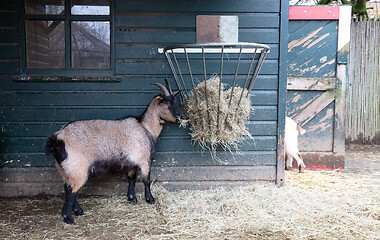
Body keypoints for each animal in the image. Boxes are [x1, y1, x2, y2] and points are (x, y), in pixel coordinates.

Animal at [44, 81, 184, 225]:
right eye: (168, 103)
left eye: (176, 100)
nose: (183, 116)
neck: (145, 127)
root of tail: (58, 138)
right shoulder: (144, 160)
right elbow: (146, 180)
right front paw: (150, 199)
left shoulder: (132, 162)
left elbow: (131, 178)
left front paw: (132, 198)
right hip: (77, 169)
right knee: (71, 190)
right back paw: (68, 217)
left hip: (64, 169)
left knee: (67, 188)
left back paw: (78, 211)